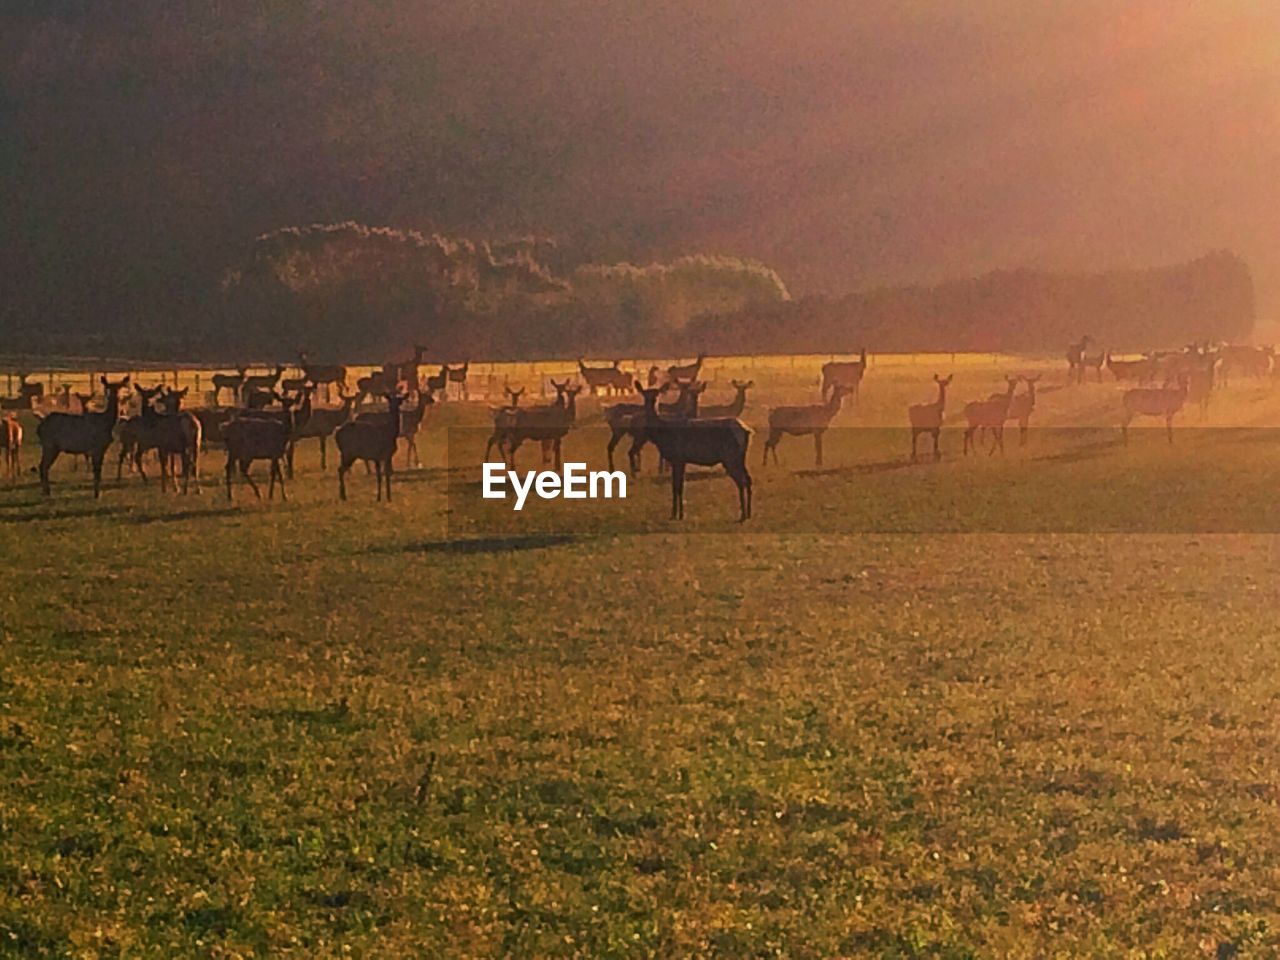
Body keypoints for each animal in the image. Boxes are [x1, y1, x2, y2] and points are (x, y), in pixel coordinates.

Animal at [629, 384, 747, 522]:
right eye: (644, 394)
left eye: (658, 393)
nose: (653, 402)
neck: (662, 433)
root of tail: (747, 430)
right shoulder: (679, 460)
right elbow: (677, 486)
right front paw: (677, 513)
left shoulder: (678, 458)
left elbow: (678, 486)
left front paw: (678, 514)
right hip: (738, 458)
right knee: (747, 480)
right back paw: (747, 513)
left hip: (731, 457)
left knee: (742, 482)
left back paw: (743, 515)